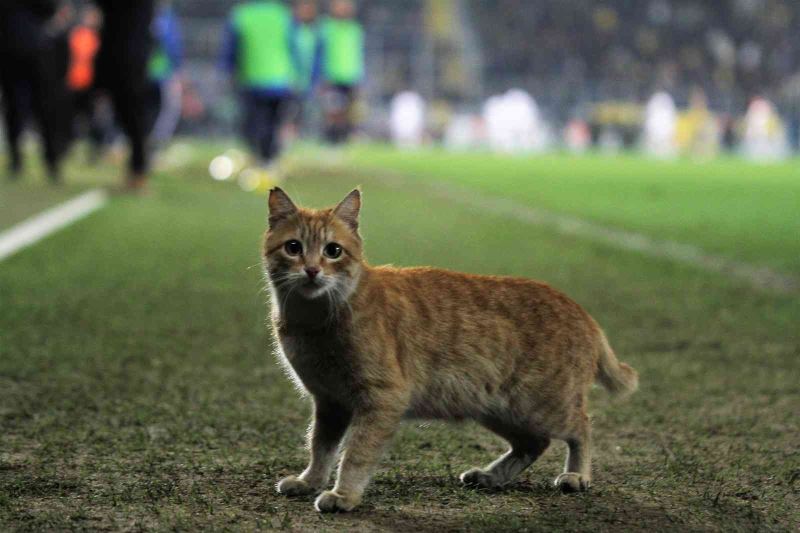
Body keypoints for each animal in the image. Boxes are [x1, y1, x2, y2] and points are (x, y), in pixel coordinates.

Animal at [262, 187, 636, 512]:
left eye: (333, 251)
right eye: (293, 247)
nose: (312, 270)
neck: (313, 321)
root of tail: (581, 311)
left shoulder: (381, 399)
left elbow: (355, 454)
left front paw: (344, 495)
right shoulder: (329, 402)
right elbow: (320, 448)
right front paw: (311, 481)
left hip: (542, 405)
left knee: (582, 426)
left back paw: (577, 475)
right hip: (499, 408)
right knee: (534, 443)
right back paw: (491, 476)